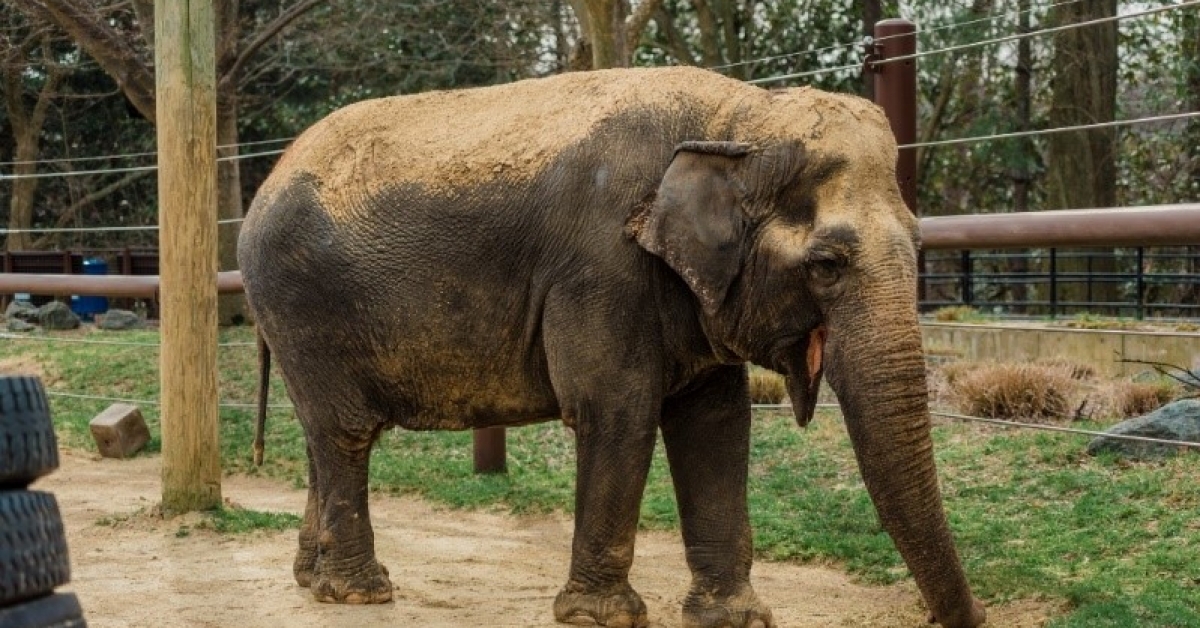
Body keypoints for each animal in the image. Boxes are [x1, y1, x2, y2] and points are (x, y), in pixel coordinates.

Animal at [234, 65, 984, 628]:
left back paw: (312, 581)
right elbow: (616, 410)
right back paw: (360, 594)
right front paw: (604, 618)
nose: (965, 618)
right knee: (346, 432)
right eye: (827, 264)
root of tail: (266, 179)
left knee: (321, 435)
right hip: (302, 304)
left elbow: (716, 423)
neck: (737, 118)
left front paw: (736, 619)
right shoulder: (601, 267)